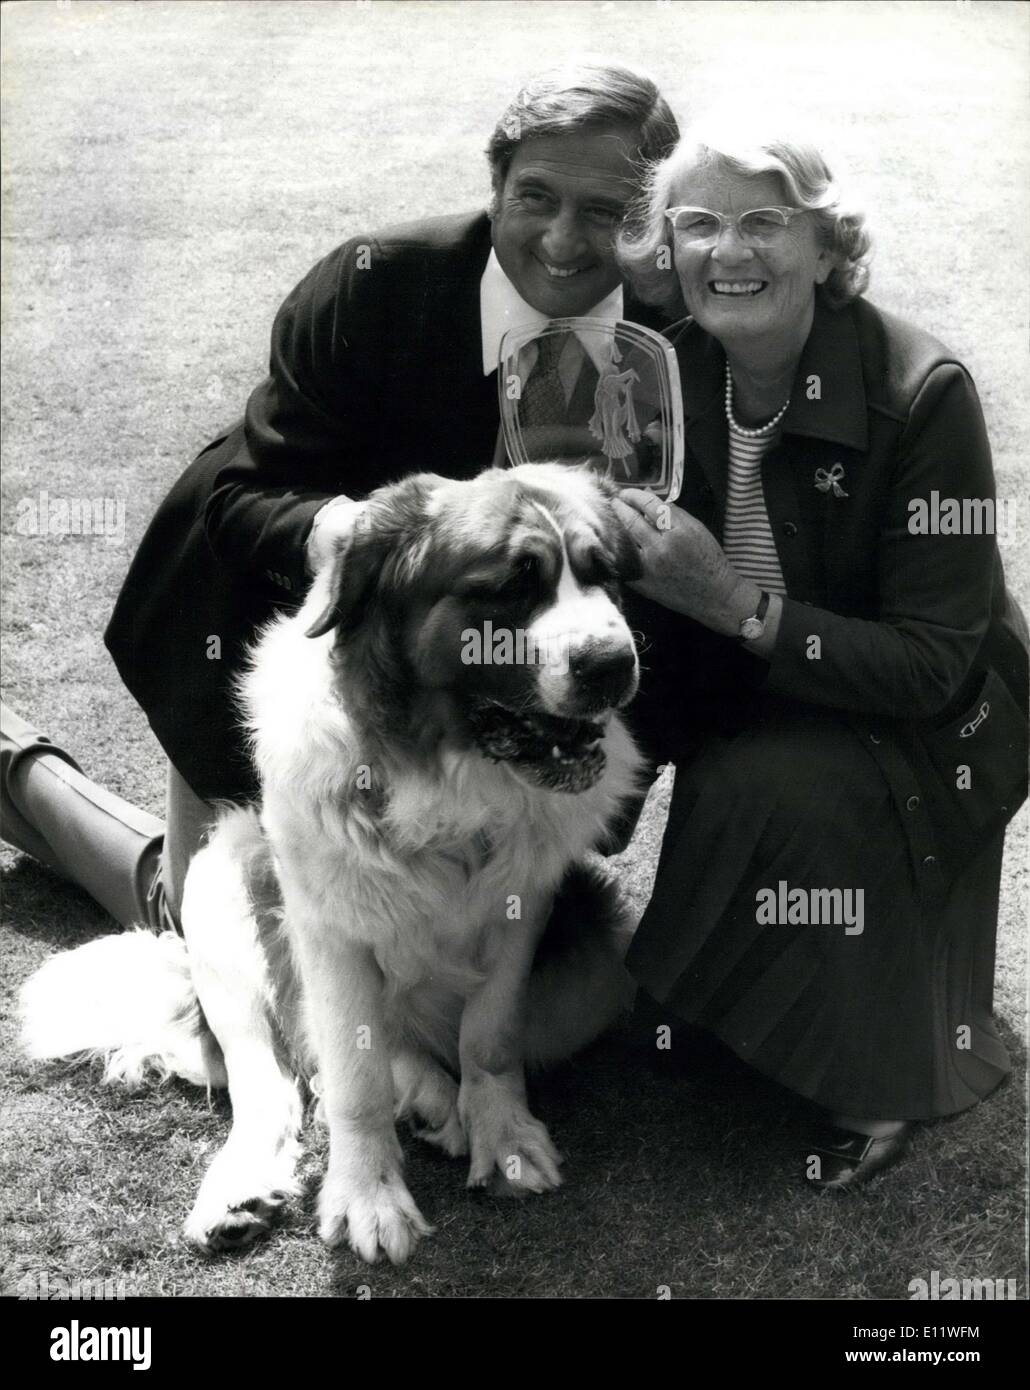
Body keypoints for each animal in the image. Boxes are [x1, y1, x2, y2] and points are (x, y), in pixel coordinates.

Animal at [20, 464, 647, 1262]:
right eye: (511, 586)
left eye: (606, 577)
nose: (614, 663)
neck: (446, 779)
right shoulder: (327, 929)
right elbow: (352, 1075)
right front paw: (367, 1197)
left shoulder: (522, 913)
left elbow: (491, 1038)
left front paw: (504, 1140)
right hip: (223, 883)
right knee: (277, 1078)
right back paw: (245, 1189)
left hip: (599, 967)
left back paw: (435, 1099)